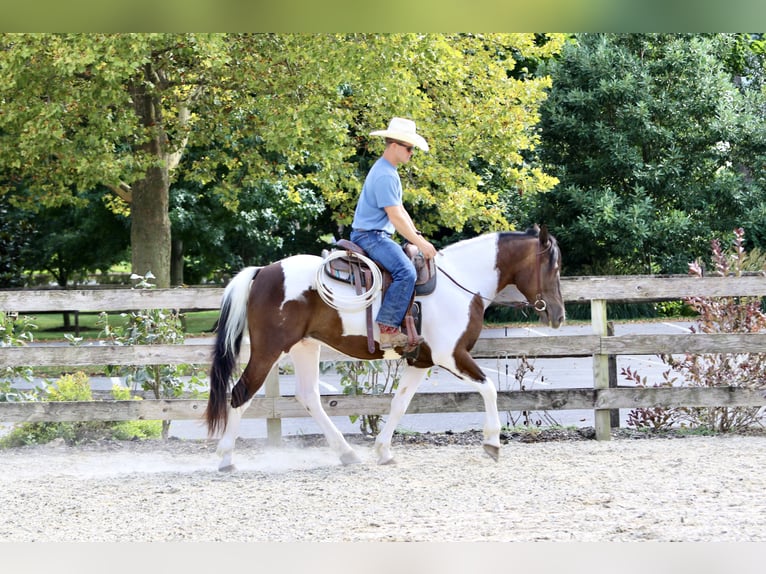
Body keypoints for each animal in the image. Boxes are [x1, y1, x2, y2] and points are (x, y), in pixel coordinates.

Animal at [205, 225, 565, 470]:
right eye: (554, 267)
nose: (559, 315)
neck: (461, 282)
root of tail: (262, 272)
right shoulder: (451, 355)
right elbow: (488, 388)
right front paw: (492, 443)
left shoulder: (422, 361)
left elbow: (399, 404)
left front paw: (383, 451)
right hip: (269, 349)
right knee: (240, 393)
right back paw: (225, 458)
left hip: (304, 347)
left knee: (308, 397)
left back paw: (347, 453)